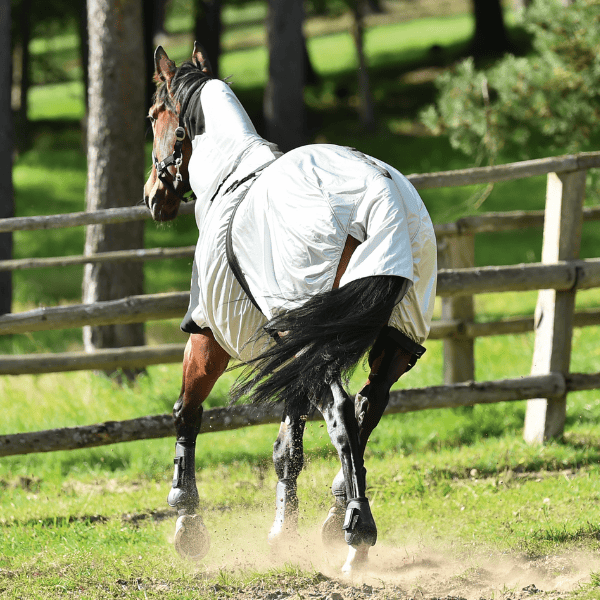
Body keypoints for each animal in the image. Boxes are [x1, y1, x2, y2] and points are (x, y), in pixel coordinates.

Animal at [144, 43, 438, 572]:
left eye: (154, 115)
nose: (153, 197)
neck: (230, 177)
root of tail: (380, 194)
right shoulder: (293, 348)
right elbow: (289, 447)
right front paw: (284, 532)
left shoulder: (209, 334)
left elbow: (186, 413)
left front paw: (187, 522)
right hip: (393, 340)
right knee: (367, 408)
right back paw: (337, 517)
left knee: (343, 412)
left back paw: (358, 534)